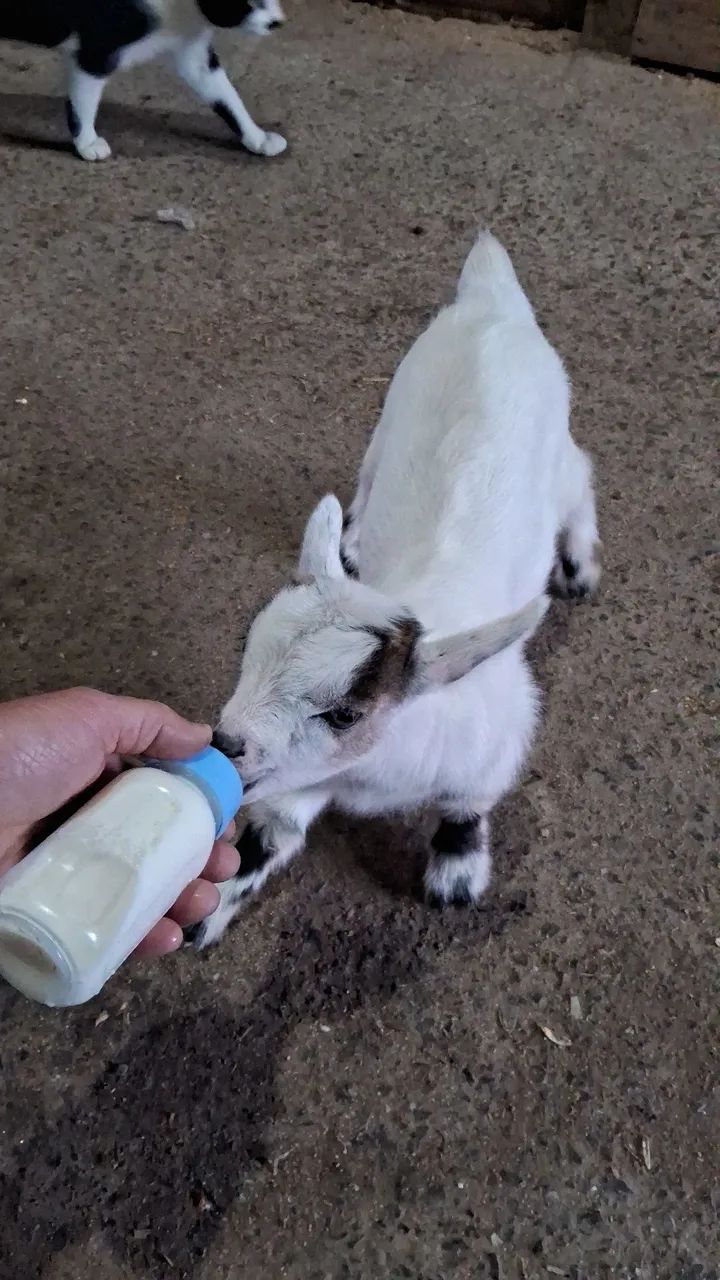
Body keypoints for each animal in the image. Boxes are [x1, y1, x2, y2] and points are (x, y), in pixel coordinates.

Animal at [189, 231, 600, 947]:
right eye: (247, 649)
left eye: (345, 713)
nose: (224, 744)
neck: (366, 776)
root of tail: (493, 304)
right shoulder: (294, 784)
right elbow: (270, 836)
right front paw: (206, 914)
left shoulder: (496, 741)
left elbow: (469, 804)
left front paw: (456, 875)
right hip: (389, 415)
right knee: (369, 471)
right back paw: (352, 538)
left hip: (557, 443)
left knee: (580, 475)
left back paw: (577, 565)